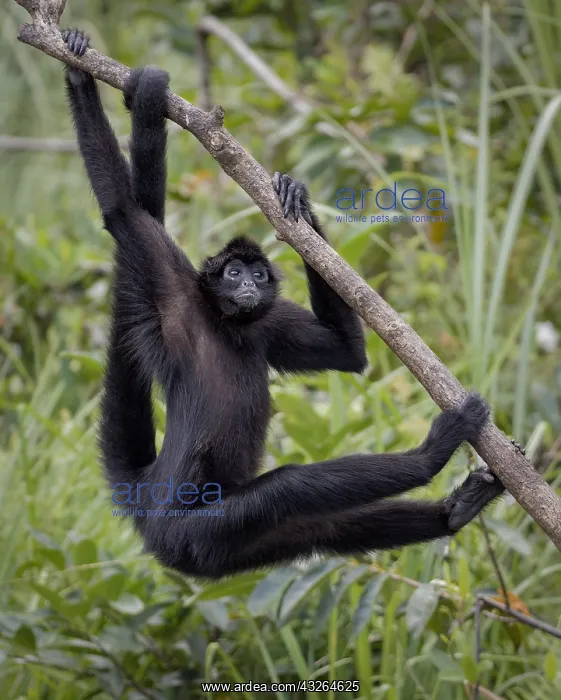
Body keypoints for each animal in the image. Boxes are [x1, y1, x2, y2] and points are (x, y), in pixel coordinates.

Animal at [62, 29, 504, 579]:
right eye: (233, 273)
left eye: (257, 274)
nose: (249, 285)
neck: (227, 323)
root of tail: (147, 502)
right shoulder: (176, 291)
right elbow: (124, 211)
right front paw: (79, 76)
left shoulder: (267, 323)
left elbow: (345, 354)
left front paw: (300, 202)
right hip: (194, 529)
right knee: (288, 489)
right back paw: (431, 455)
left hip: (233, 544)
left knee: (323, 526)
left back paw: (453, 513)